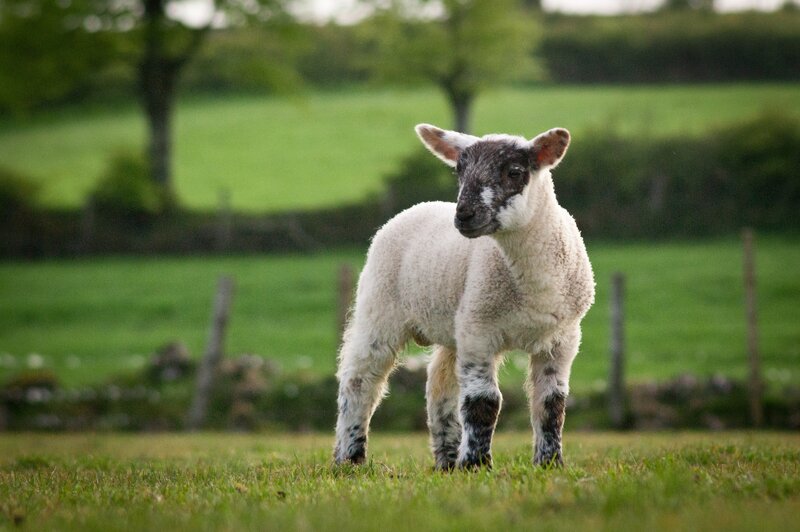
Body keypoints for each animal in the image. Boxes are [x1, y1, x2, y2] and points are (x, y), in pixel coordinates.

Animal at [333, 123, 595, 469]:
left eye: (514, 172)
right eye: (459, 170)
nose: (464, 216)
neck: (534, 285)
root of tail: (418, 206)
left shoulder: (562, 339)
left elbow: (552, 403)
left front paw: (550, 463)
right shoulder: (478, 331)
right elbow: (483, 401)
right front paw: (476, 464)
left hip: (453, 323)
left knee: (439, 384)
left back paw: (446, 461)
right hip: (379, 307)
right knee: (360, 380)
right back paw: (349, 458)